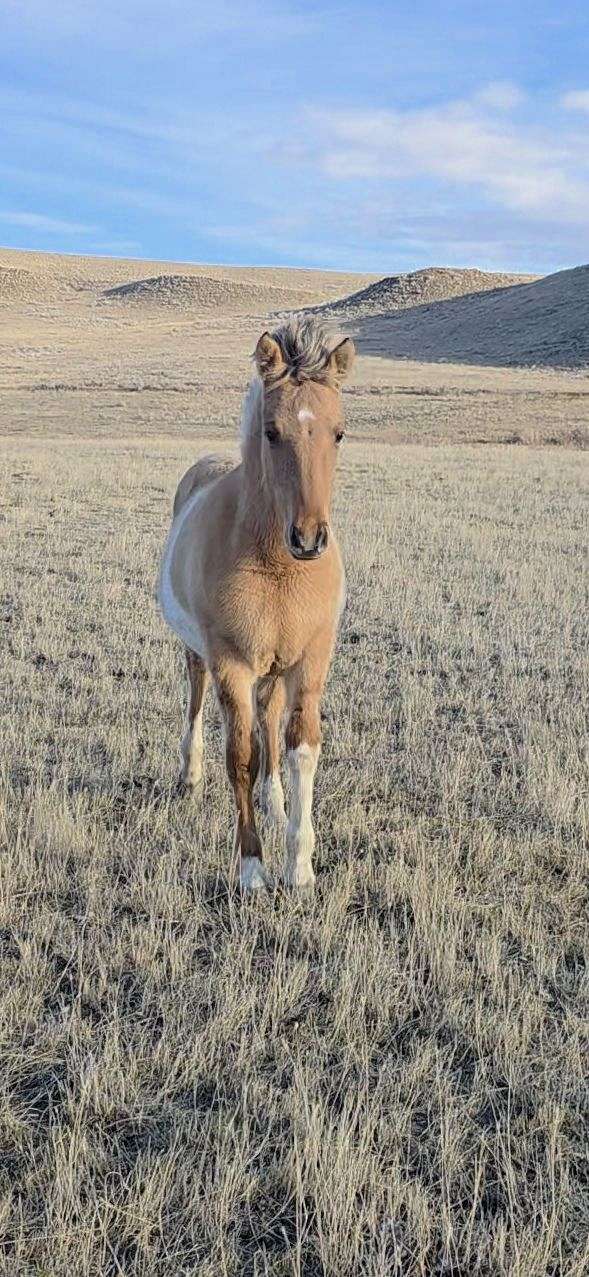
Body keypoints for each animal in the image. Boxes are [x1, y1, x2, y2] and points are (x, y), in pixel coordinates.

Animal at [158, 318, 355, 892]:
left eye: (338, 432)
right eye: (271, 432)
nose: (309, 539)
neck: (279, 570)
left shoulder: (310, 661)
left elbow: (300, 749)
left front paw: (300, 866)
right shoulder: (231, 664)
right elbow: (241, 756)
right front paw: (251, 870)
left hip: (275, 667)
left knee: (269, 719)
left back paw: (275, 802)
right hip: (200, 655)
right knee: (197, 700)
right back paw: (190, 777)